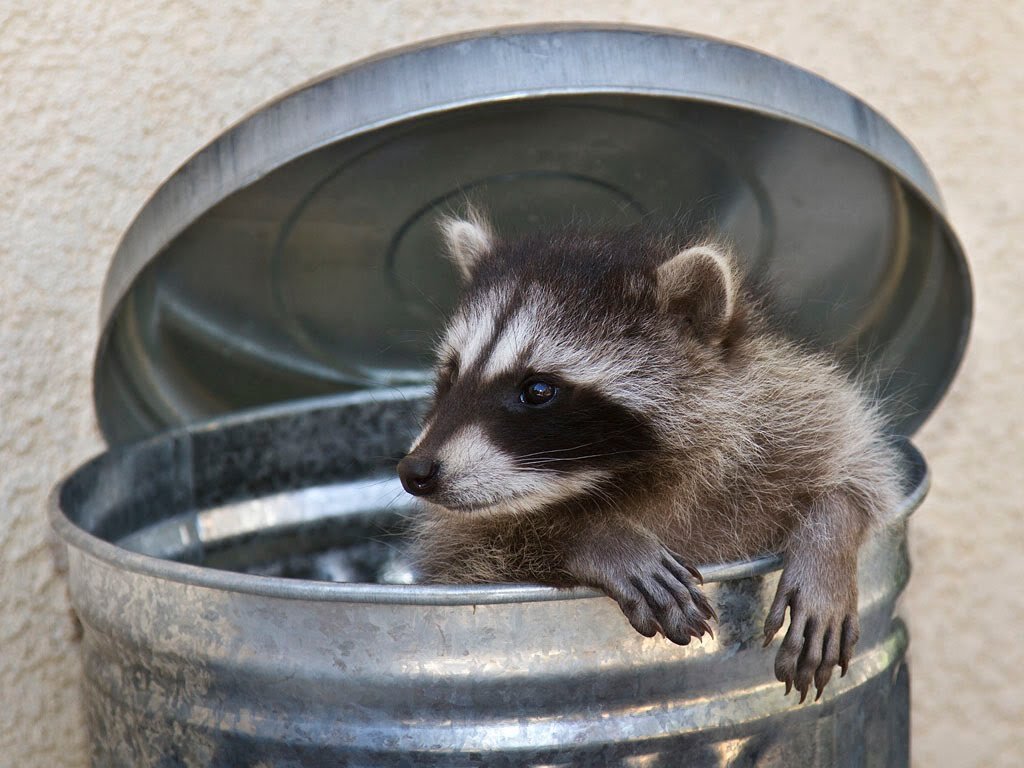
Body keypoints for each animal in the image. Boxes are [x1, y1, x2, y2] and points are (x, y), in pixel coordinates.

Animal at [395, 210, 901, 704]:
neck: (625, 479)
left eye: (537, 390)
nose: (414, 472)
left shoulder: (782, 406)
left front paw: (828, 542)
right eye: (451, 373)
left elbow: (860, 464)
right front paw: (586, 533)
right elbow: (468, 551)